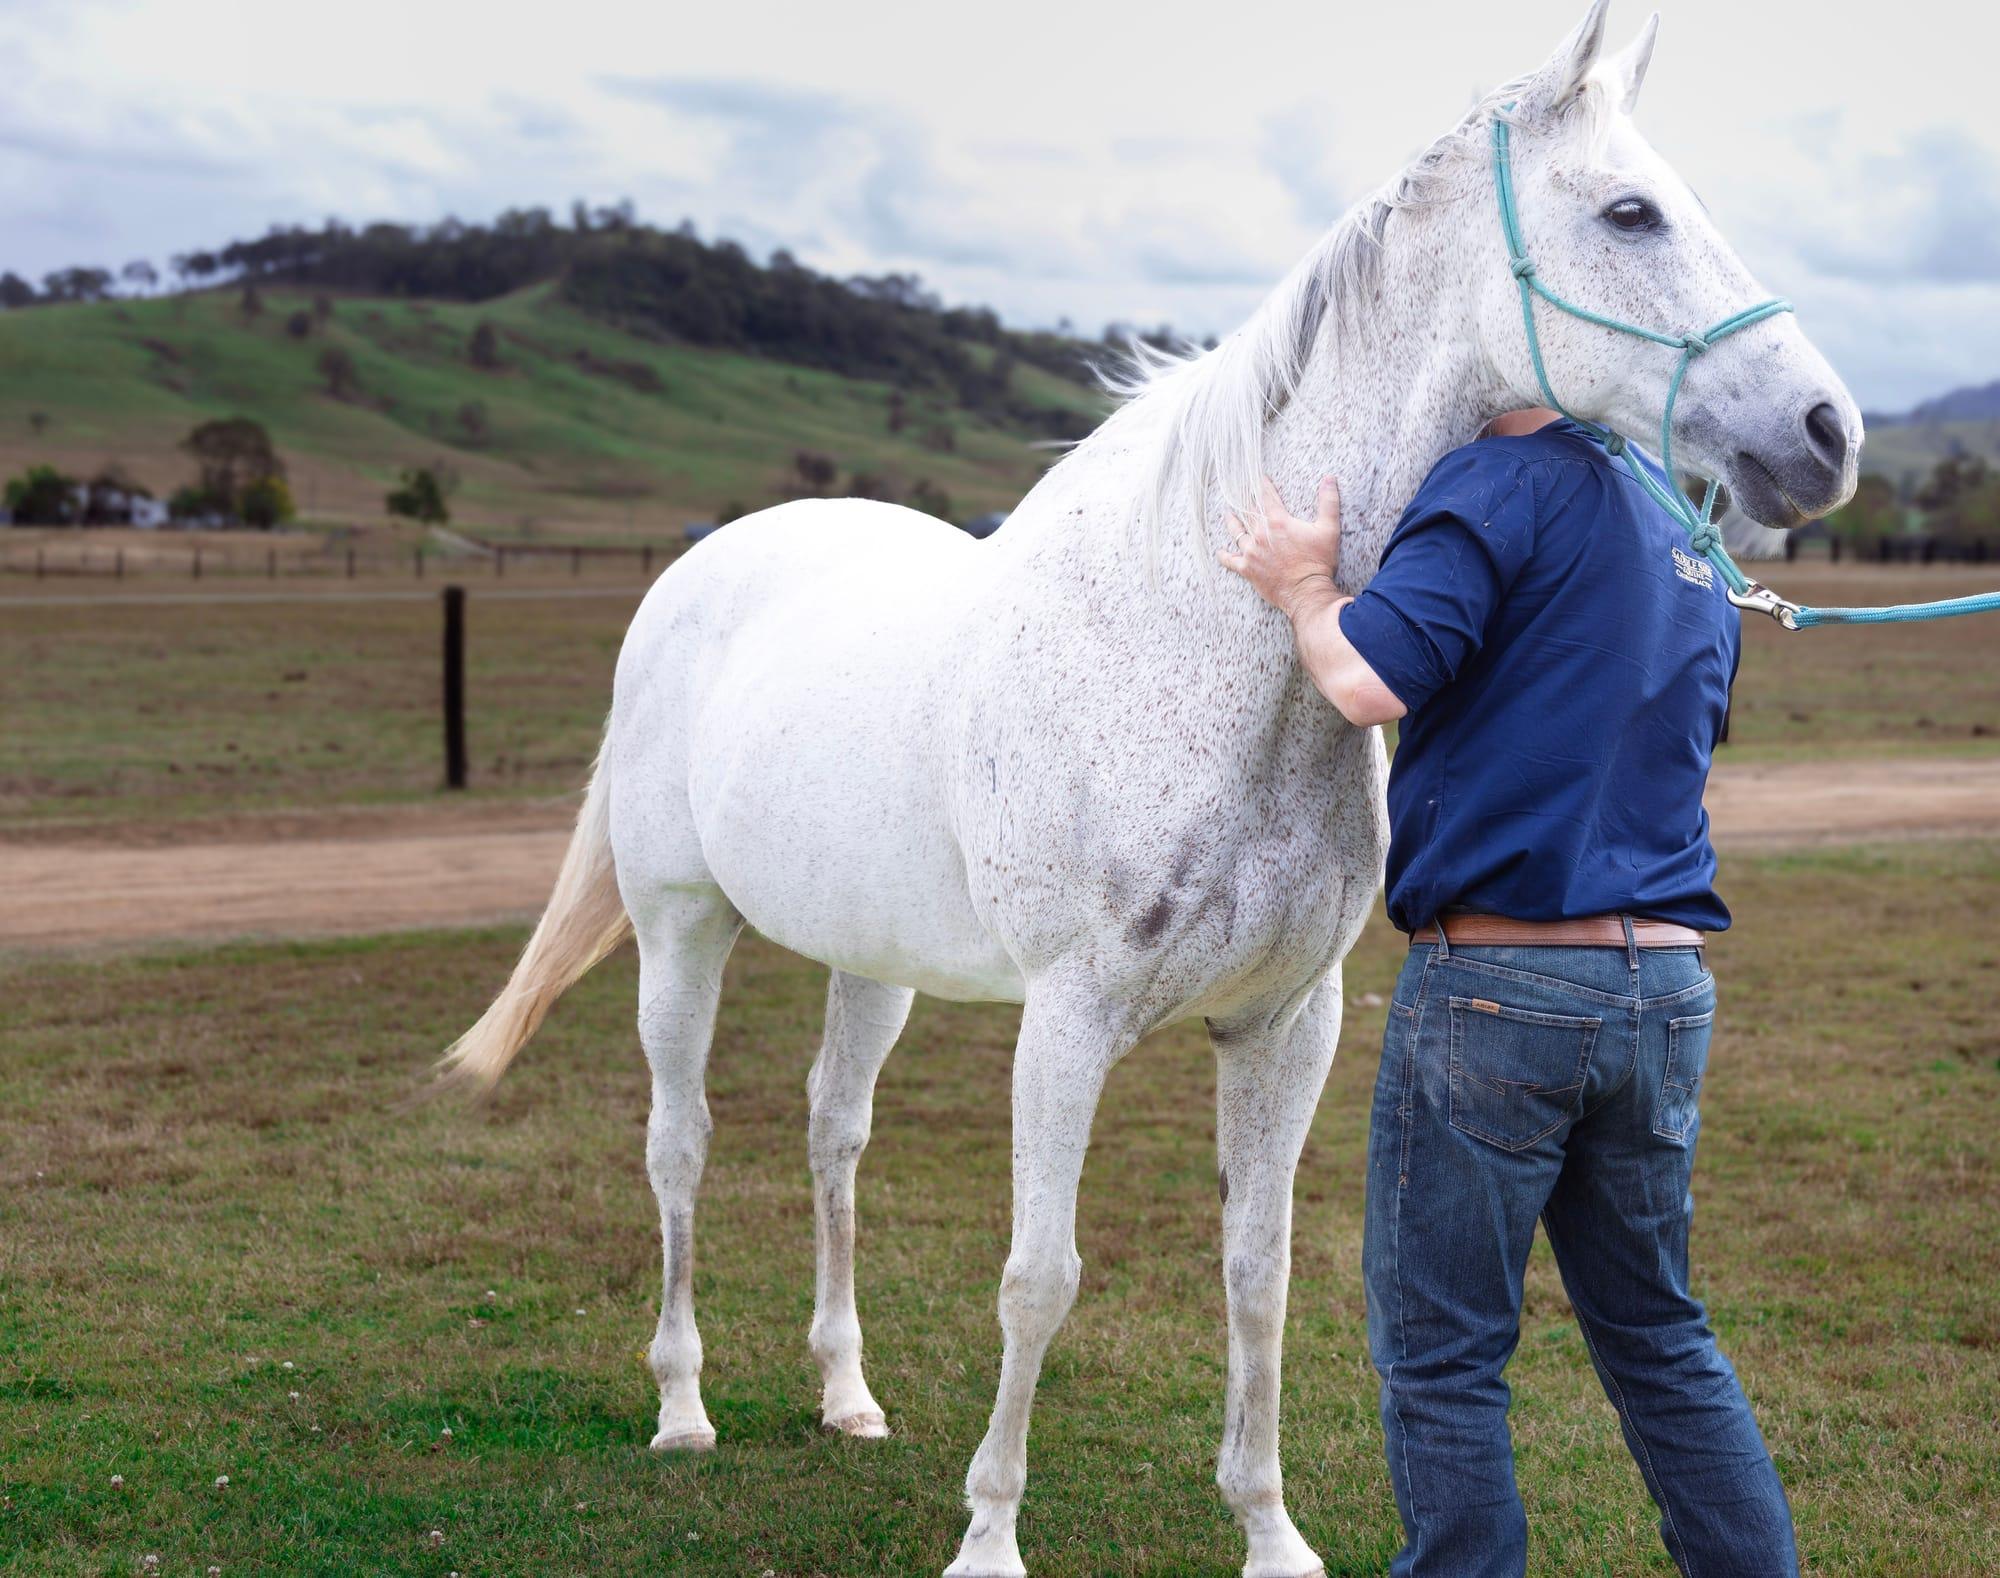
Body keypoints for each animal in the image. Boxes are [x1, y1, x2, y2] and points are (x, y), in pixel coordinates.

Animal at [439, 6, 1860, 1573]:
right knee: (680, 1141)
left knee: (831, 1133)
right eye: (1628, 212)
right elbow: (1037, 1276)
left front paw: (1270, 1529)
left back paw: (847, 1394)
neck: (1214, 648)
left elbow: (1258, 1272)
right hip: (680, 928)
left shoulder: (1283, 1029)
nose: (1826, 431)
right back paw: (683, 1407)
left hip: (867, 960)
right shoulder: (1066, 1024)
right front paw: (990, 1536)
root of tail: (700, 571)